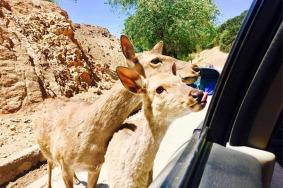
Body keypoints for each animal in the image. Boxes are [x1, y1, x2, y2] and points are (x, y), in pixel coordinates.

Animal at [35, 35, 201, 188]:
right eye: (155, 60)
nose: (195, 68)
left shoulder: (96, 167)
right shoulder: (64, 163)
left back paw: (77, 179)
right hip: (46, 151)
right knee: (49, 163)